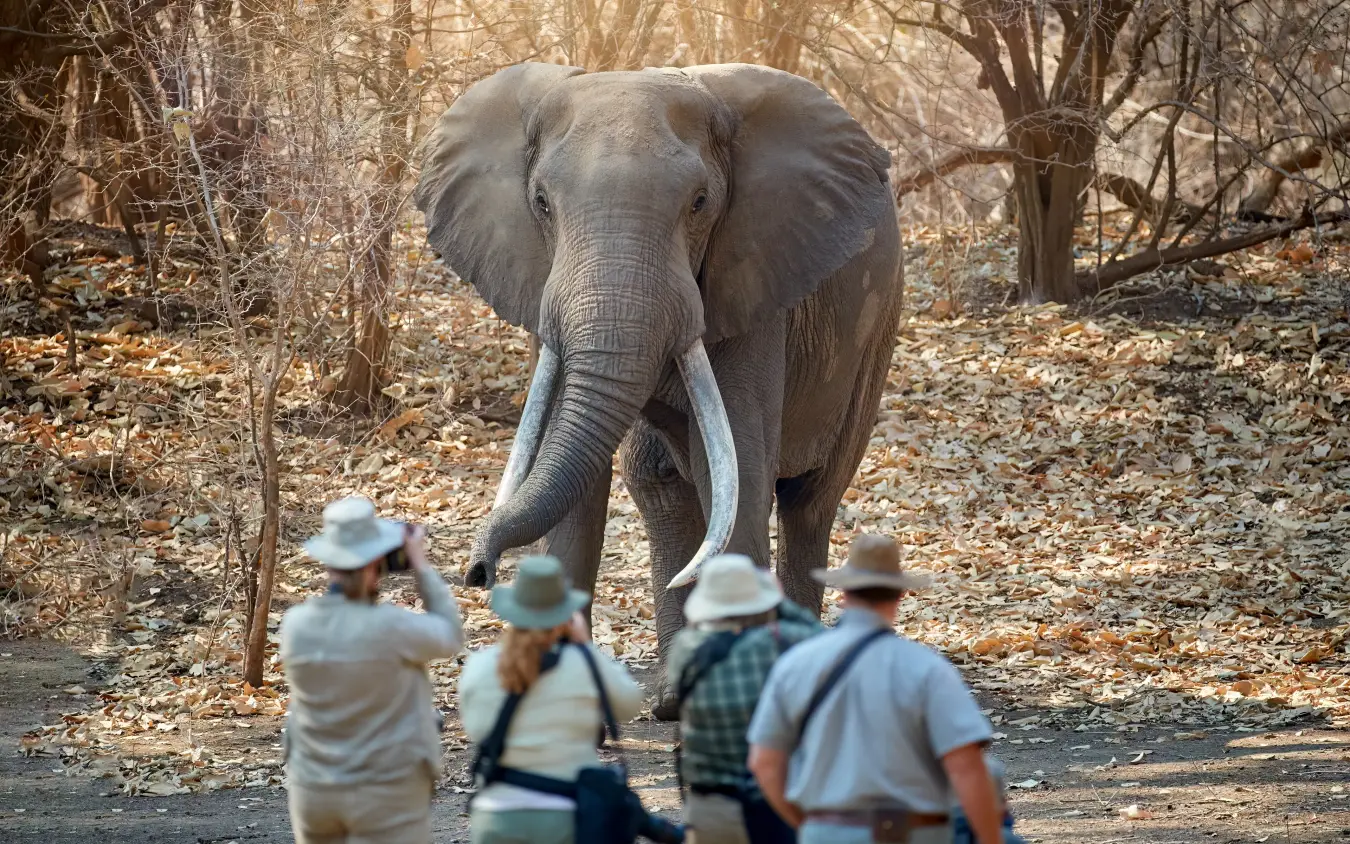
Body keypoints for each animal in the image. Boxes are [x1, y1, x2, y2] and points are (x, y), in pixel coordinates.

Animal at [413, 62, 904, 719]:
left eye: (700, 203)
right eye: (540, 202)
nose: (477, 571)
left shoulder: (752, 280)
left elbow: (740, 472)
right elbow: (579, 485)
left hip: (875, 335)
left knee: (808, 501)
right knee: (663, 484)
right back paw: (673, 697)